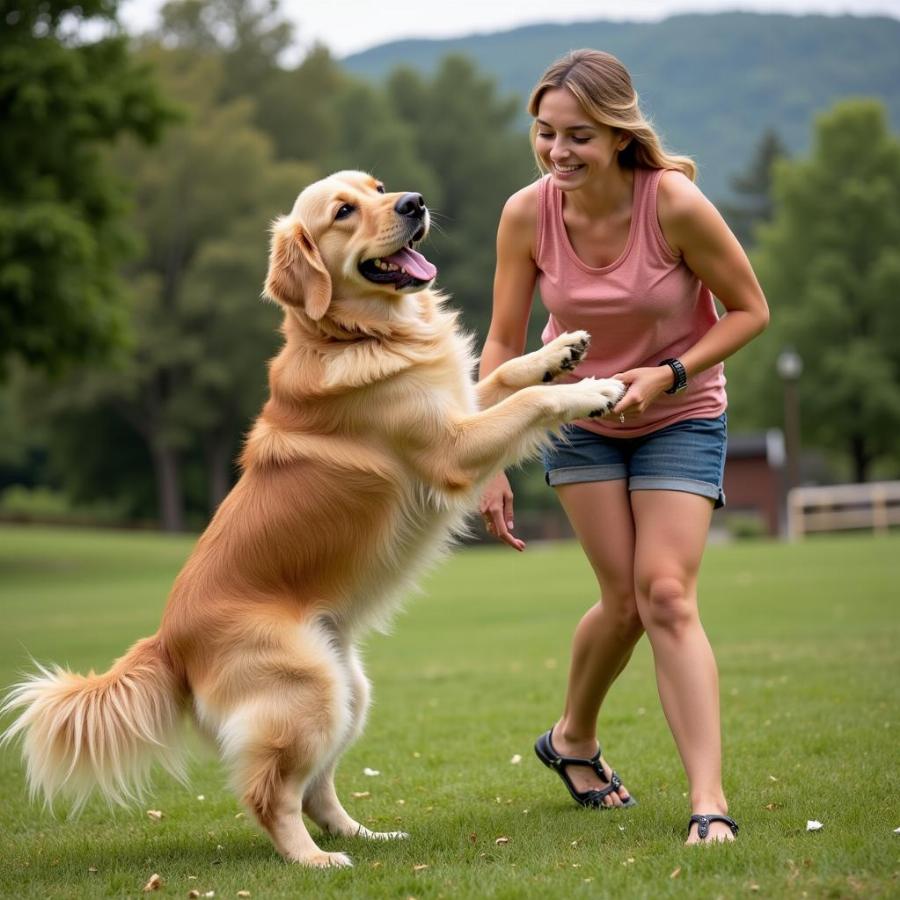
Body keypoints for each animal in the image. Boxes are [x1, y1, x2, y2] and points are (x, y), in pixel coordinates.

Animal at [0, 172, 624, 868]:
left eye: (378, 187)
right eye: (344, 212)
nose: (414, 203)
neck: (360, 334)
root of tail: (168, 640)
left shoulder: (459, 404)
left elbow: (506, 376)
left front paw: (562, 350)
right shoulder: (452, 448)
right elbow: (530, 401)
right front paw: (591, 389)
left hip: (347, 688)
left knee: (315, 789)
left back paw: (362, 835)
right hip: (308, 693)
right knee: (270, 795)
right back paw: (314, 860)